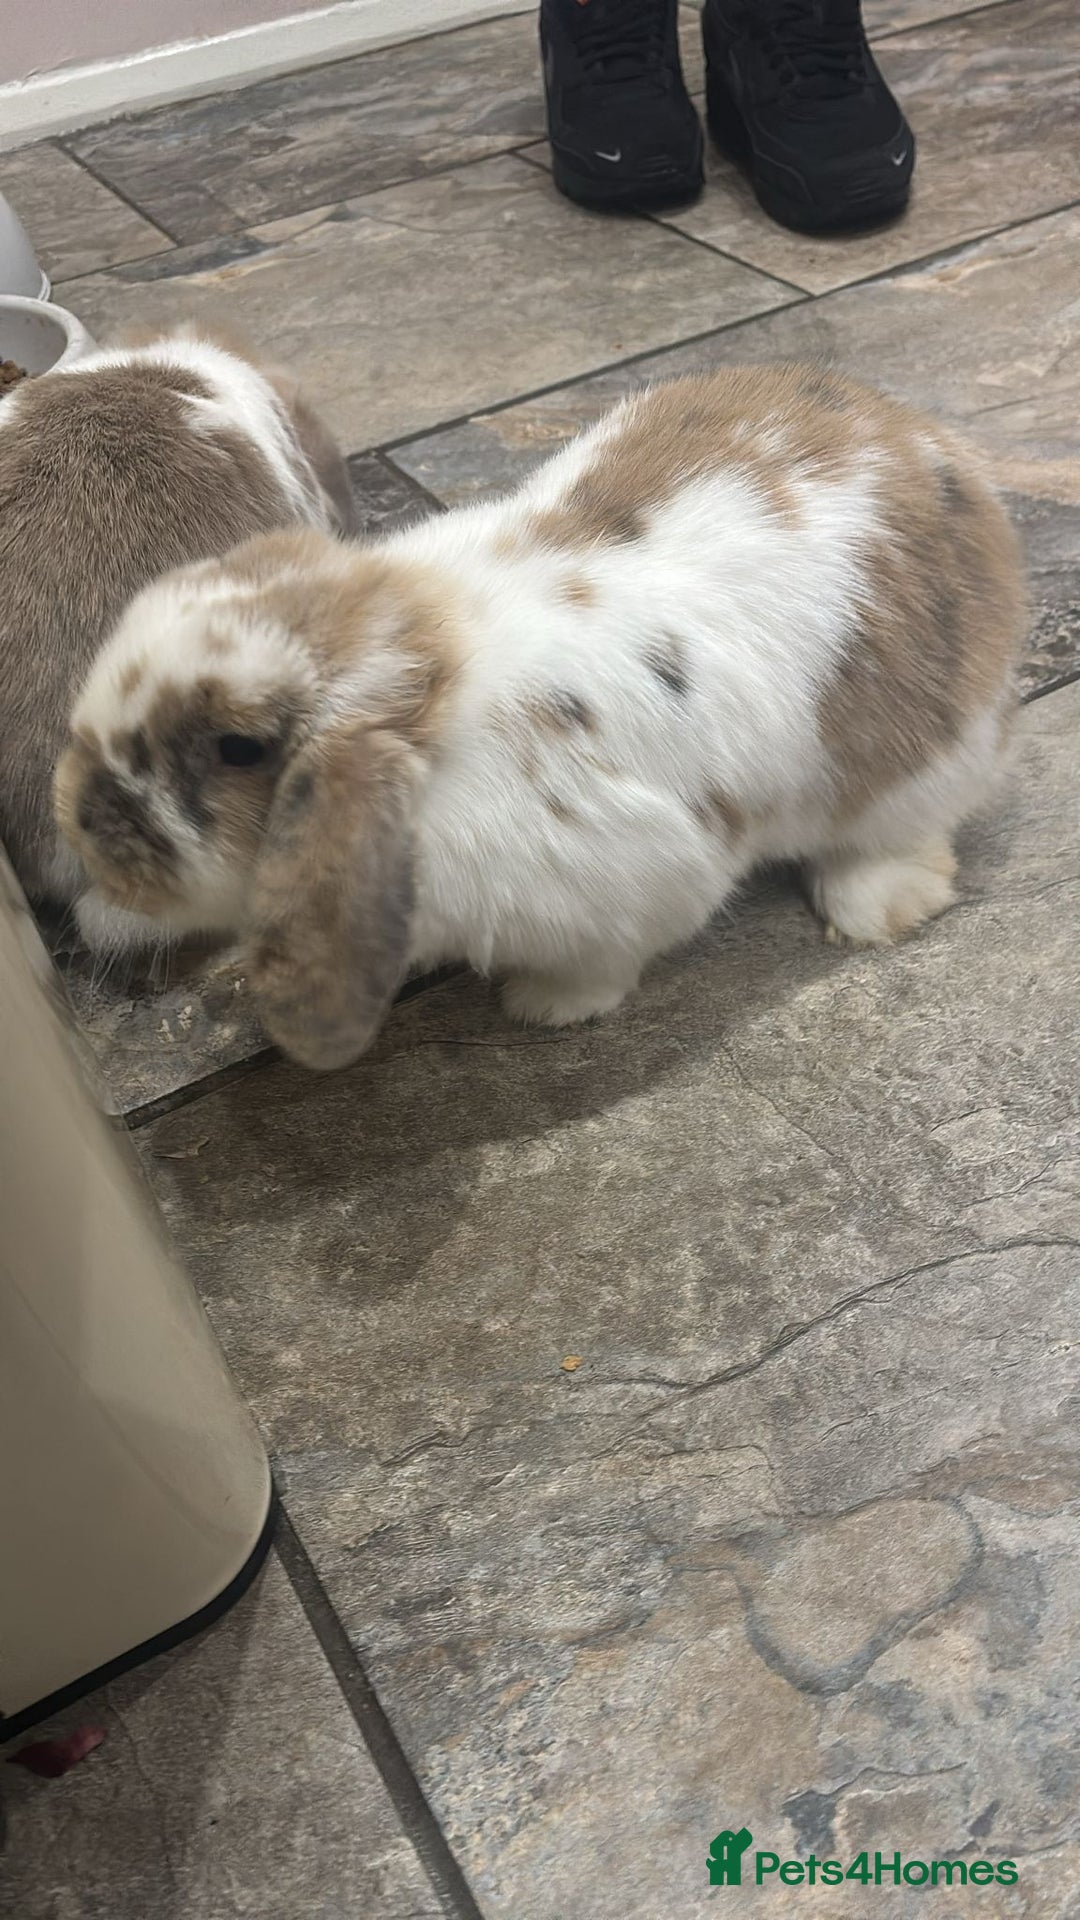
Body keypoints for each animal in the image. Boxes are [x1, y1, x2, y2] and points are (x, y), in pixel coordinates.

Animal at [54, 363, 1026, 1069]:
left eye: (237, 747)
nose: (74, 819)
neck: (428, 686)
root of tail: (949, 461)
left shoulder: (635, 882)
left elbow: (604, 962)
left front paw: (544, 1009)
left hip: (919, 762)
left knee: (904, 832)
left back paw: (875, 909)